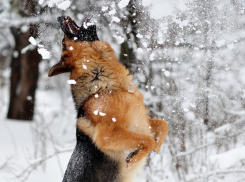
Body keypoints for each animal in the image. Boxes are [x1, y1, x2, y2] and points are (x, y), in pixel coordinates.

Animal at [48, 15, 168, 182]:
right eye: (63, 43)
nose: (59, 17)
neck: (105, 86)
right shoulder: (108, 135)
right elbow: (147, 140)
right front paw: (135, 157)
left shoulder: (140, 121)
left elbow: (163, 125)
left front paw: (157, 145)